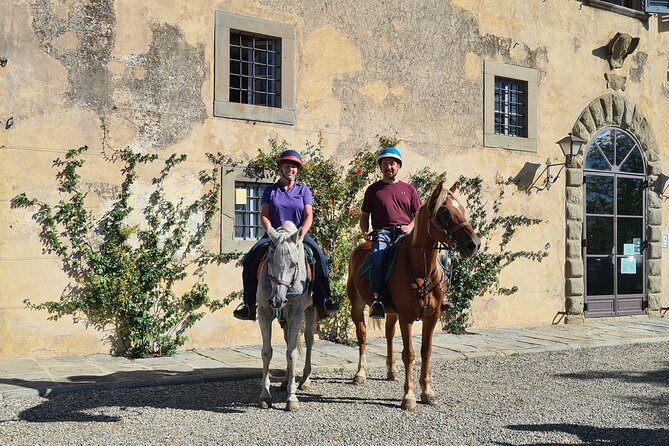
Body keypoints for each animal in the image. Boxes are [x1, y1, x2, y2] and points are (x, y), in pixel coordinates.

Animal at [256, 221, 317, 411]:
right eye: (269, 260)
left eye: (294, 264)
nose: (277, 300)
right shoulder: (264, 312)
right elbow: (267, 352)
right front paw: (265, 394)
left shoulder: (296, 313)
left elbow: (292, 354)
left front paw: (292, 398)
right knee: (289, 340)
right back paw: (285, 381)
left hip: (310, 310)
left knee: (309, 340)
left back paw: (304, 380)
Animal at [347, 181, 480, 411]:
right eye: (445, 211)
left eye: (461, 208)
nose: (474, 244)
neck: (421, 269)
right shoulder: (407, 316)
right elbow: (409, 354)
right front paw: (408, 397)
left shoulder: (432, 316)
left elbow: (426, 351)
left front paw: (427, 392)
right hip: (357, 304)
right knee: (362, 336)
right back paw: (360, 373)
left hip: (391, 311)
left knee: (389, 334)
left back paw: (391, 371)